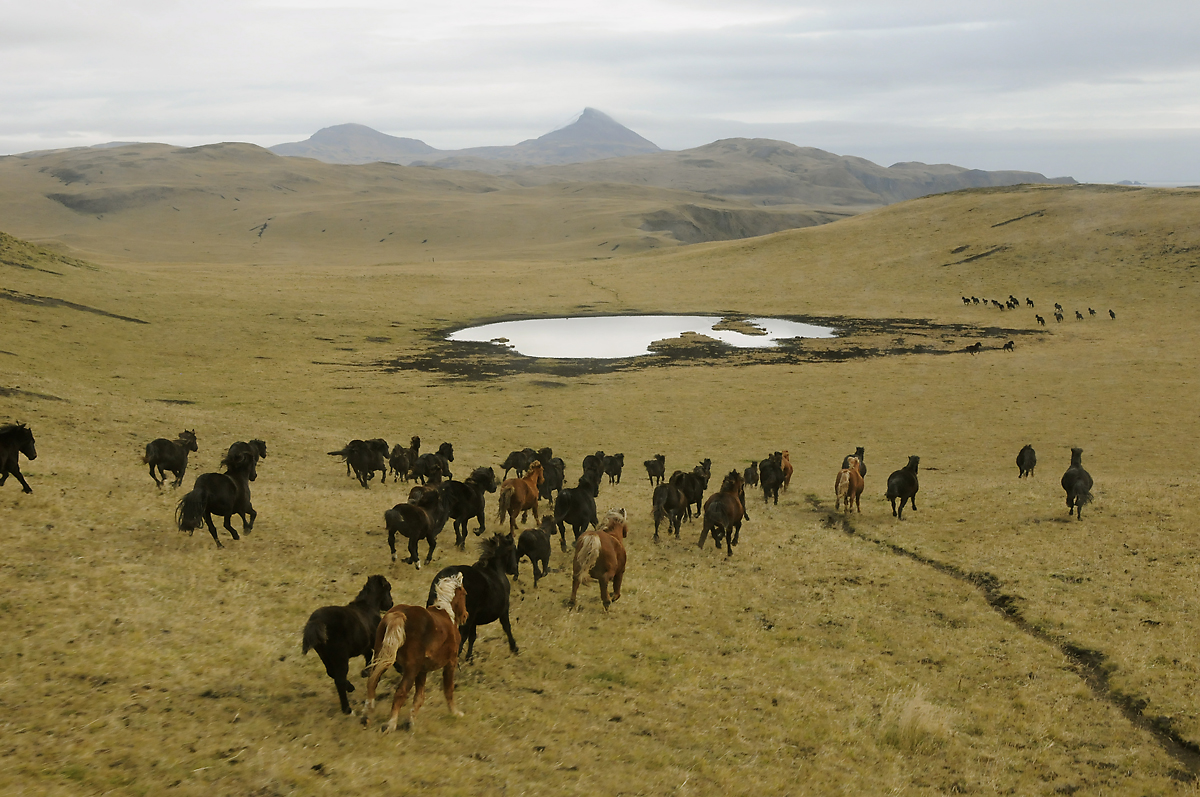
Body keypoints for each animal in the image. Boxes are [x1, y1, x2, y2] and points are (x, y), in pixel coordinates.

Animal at [302, 575, 394, 715]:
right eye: (388, 589)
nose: (391, 604)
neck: (368, 606)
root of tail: (316, 622)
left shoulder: (365, 645)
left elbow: (369, 657)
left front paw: (365, 672)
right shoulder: (375, 642)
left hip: (325, 656)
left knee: (332, 673)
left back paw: (350, 687)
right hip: (340, 656)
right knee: (339, 679)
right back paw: (347, 708)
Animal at [361, 573, 468, 733]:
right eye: (465, 594)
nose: (465, 615)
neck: (446, 614)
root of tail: (400, 614)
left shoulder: (422, 670)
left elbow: (419, 697)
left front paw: (410, 721)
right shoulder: (450, 662)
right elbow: (448, 690)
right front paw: (456, 713)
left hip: (381, 657)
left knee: (372, 682)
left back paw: (367, 716)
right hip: (410, 669)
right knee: (400, 692)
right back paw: (390, 724)